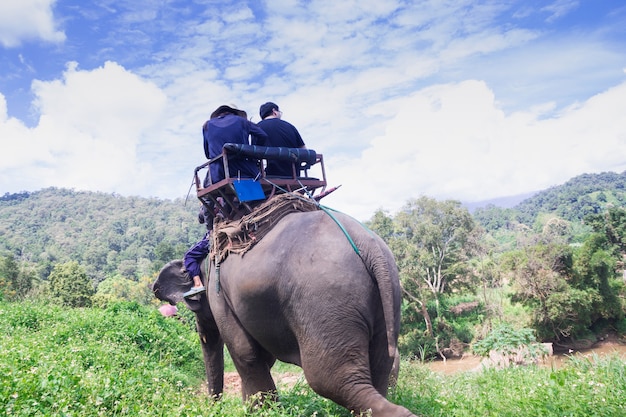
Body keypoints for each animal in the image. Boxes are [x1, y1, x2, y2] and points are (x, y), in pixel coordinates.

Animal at [151, 206, 414, 414]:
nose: (213, 406)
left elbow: (245, 351)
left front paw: (262, 411)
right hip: (386, 298)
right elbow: (261, 356)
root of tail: (369, 247)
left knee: (330, 379)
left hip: (325, 300)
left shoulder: (220, 296)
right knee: (379, 367)